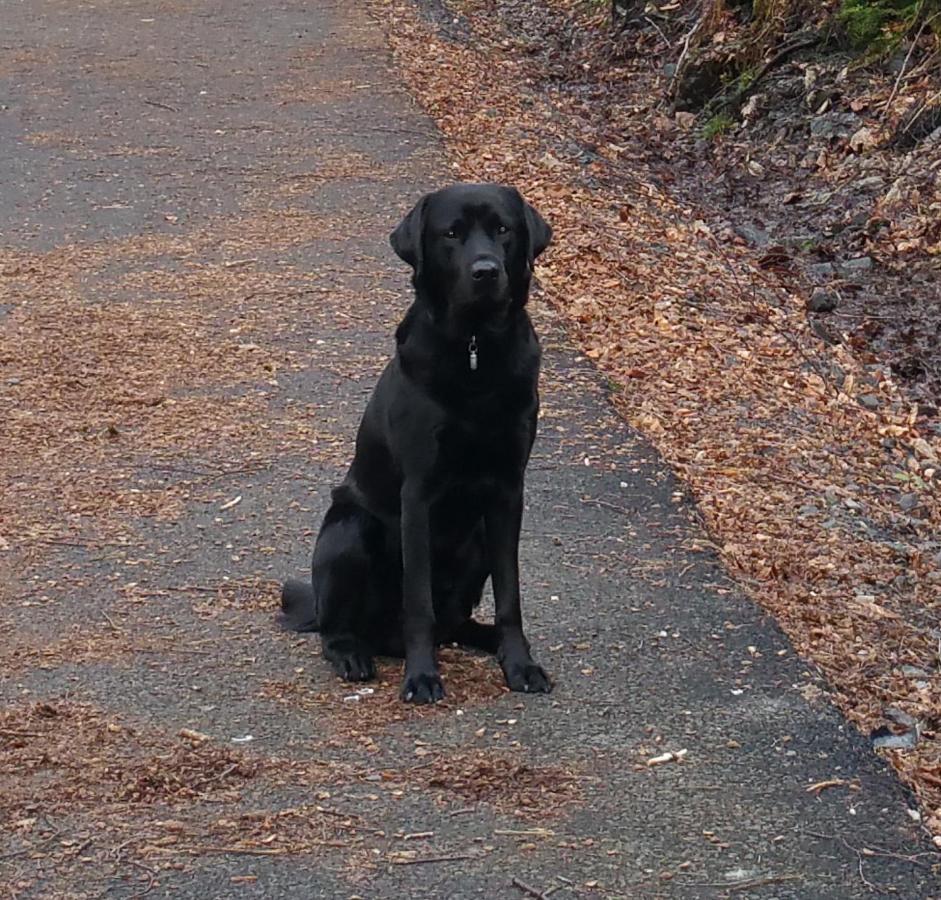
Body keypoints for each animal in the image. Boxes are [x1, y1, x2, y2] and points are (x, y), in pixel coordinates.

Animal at [282, 183, 556, 704]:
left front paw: (520, 663)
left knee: (458, 623)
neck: (475, 351)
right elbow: (419, 602)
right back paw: (353, 653)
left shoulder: (509, 490)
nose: (487, 271)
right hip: (349, 530)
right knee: (337, 628)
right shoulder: (418, 494)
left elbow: (510, 597)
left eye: (503, 229)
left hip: (477, 540)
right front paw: (422, 675)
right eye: (451, 233)